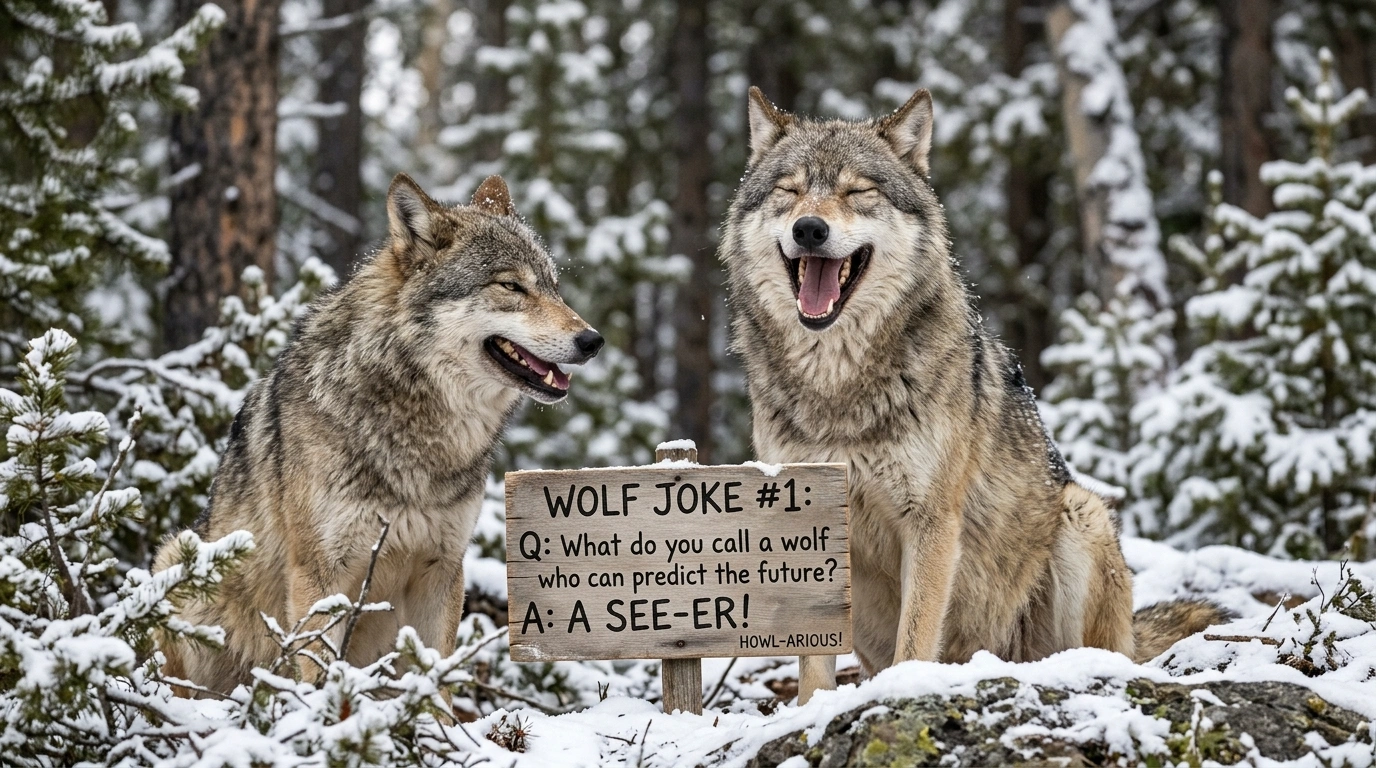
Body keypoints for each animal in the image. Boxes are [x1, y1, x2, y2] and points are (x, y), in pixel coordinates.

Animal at [155, 174, 603, 694]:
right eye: (511, 285)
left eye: (554, 288)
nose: (593, 340)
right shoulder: (318, 574)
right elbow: (320, 673)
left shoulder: (441, 570)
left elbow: (437, 679)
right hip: (178, 560)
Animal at [722, 87, 1224, 703]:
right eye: (789, 191)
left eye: (858, 191)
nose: (809, 229)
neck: (836, 384)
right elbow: (813, 663)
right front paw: (810, 710)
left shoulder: (932, 522)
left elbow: (917, 636)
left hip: (1082, 515)